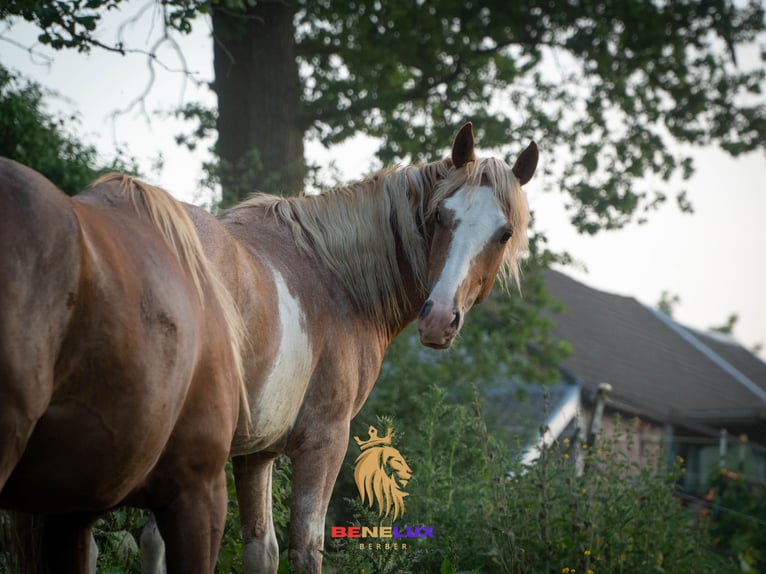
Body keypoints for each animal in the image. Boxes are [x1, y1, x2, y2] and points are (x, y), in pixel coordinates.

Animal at [136, 122, 540, 574]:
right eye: (440, 215)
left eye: (503, 234)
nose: (438, 318)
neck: (335, 278)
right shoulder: (325, 441)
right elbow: (305, 549)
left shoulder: (256, 452)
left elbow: (261, 550)